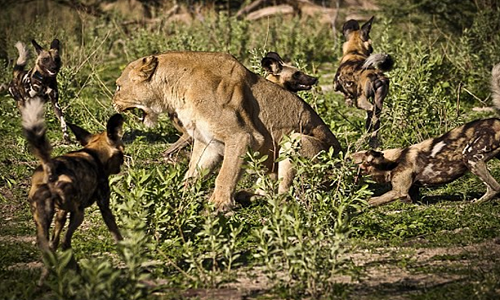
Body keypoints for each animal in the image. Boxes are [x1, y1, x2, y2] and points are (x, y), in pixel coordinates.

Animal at [22, 97, 125, 284]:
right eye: (121, 153)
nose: (121, 166)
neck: (93, 153)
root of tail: (50, 169)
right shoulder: (104, 207)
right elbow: (117, 234)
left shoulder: (61, 214)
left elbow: (54, 243)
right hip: (78, 214)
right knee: (65, 242)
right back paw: (77, 275)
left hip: (44, 219)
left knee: (50, 247)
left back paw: (46, 280)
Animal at [113, 51, 340, 211]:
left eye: (117, 86)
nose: (113, 103)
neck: (176, 90)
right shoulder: (207, 142)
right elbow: (193, 171)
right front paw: (180, 196)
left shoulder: (243, 137)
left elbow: (225, 174)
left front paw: (219, 205)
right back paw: (247, 195)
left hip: (296, 139)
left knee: (285, 197)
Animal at [334, 15, 392, 149]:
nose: (372, 50)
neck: (354, 51)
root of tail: (375, 75)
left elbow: (344, 92)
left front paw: (347, 100)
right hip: (378, 101)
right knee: (375, 120)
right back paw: (373, 141)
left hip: (361, 101)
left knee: (372, 113)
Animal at [350, 62, 500, 207]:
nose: (347, 157)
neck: (391, 161)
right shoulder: (410, 193)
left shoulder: (399, 192)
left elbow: (373, 200)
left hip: (470, 158)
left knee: (495, 187)